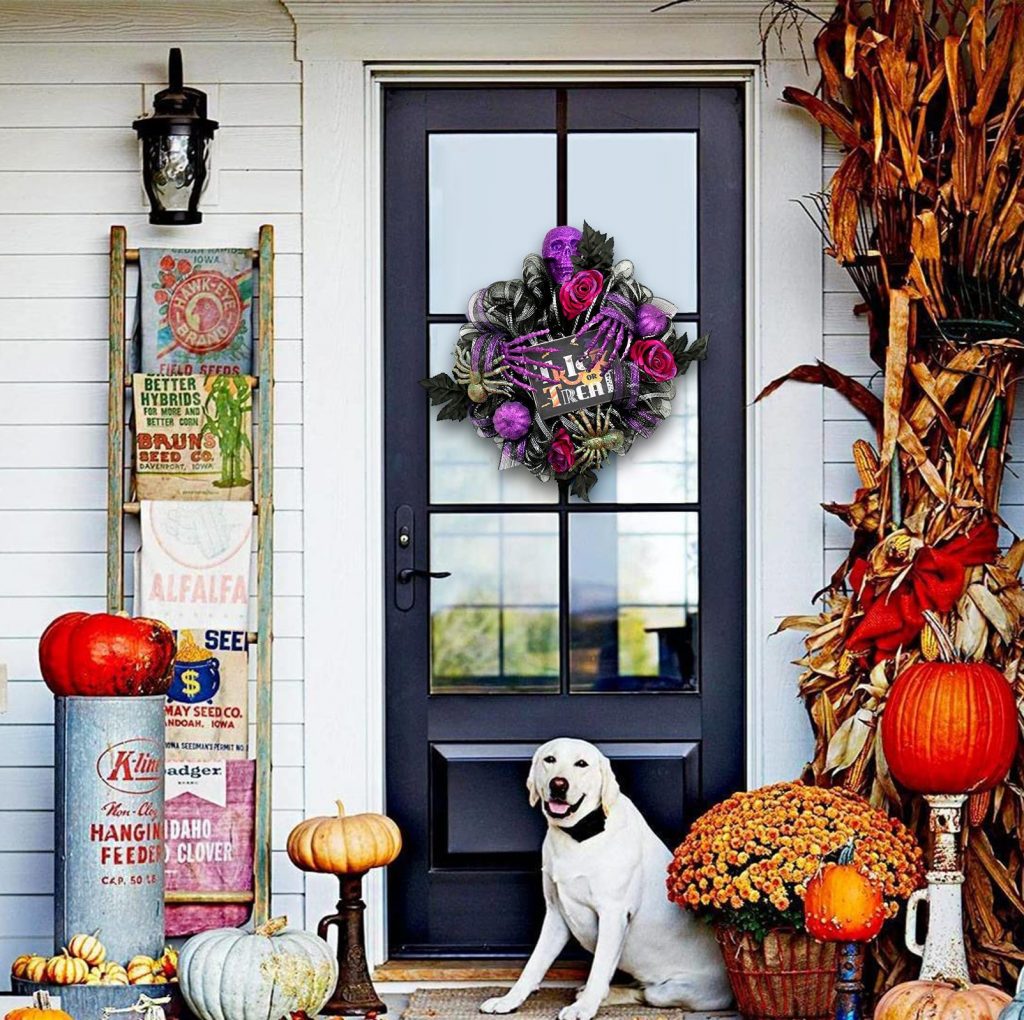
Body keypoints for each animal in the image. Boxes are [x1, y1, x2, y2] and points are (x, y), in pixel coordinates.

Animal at [479, 741, 729, 1020]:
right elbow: (534, 965)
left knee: (644, 993)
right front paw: (509, 1000)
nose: (558, 784)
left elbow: (599, 968)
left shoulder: (612, 914)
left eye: (581, 764)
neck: (580, 834)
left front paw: (584, 1008)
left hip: (669, 991)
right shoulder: (555, 915)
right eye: (550, 759)